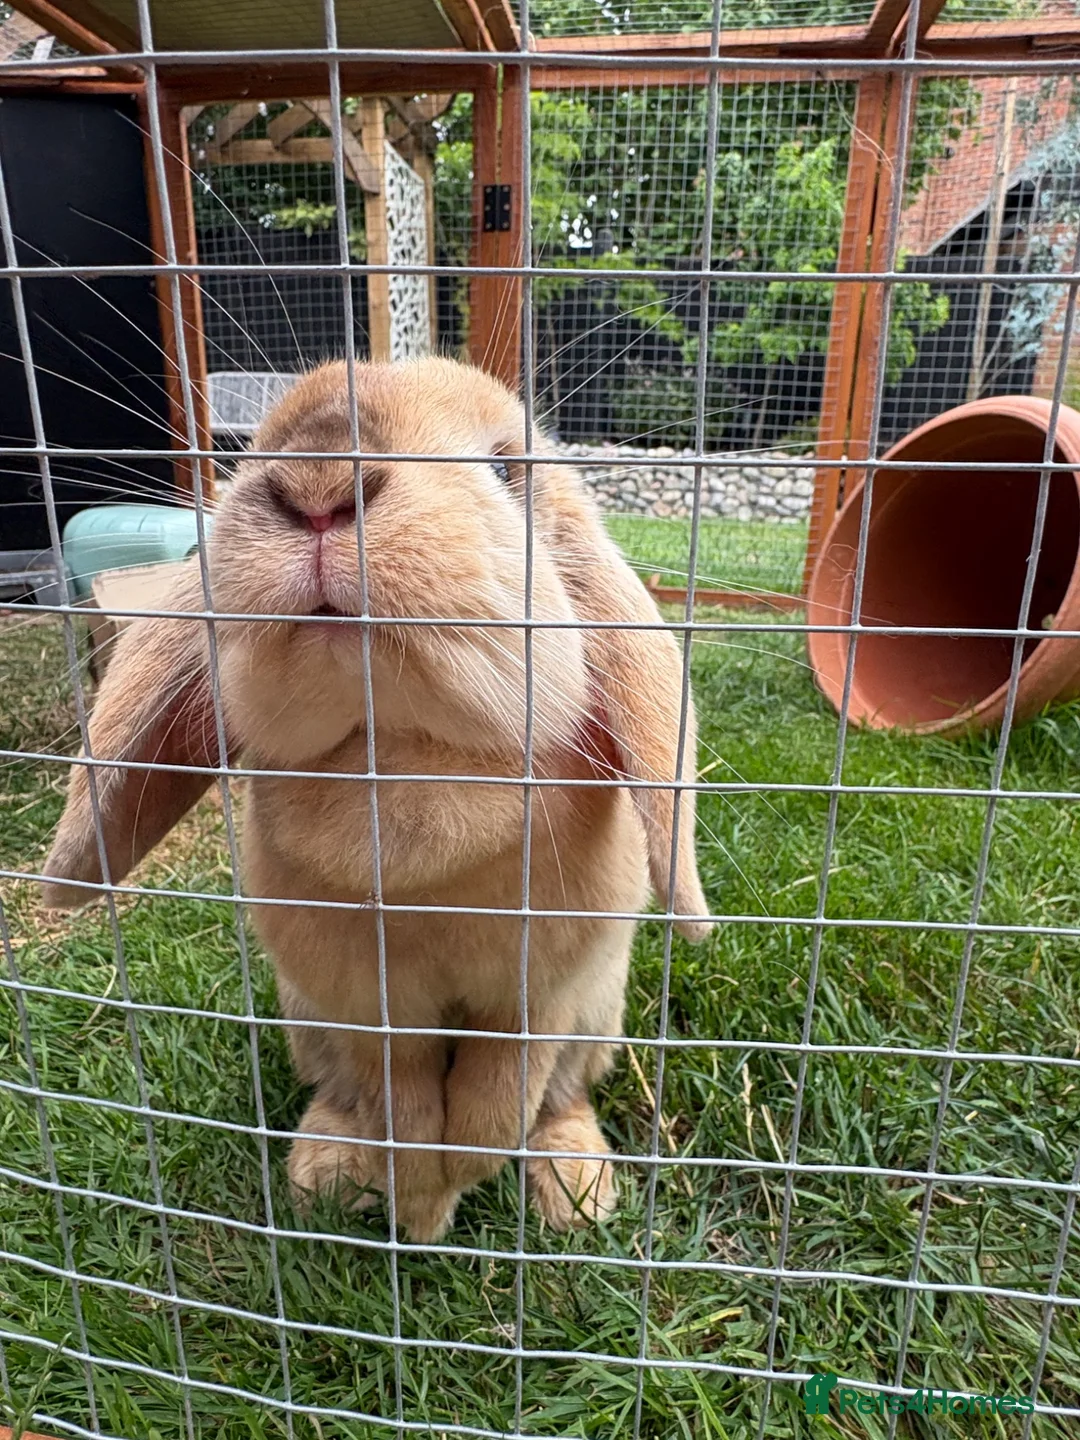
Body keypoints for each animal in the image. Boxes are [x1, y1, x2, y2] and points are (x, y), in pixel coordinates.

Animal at [41, 357, 713, 1243]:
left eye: (507, 469)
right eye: (257, 450)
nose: (317, 486)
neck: (393, 755)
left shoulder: (542, 994)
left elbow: (501, 1093)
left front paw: (456, 1181)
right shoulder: (366, 1007)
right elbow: (401, 1097)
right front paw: (420, 1199)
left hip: (596, 1019)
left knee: (558, 1101)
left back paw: (575, 1194)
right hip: (308, 1021)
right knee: (346, 1095)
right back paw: (327, 1172)